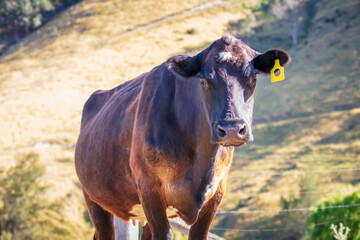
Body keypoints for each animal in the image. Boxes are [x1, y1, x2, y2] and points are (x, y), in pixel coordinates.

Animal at [75, 34, 290, 239]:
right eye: (203, 80)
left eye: (253, 77)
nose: (232, 128)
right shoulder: (149, 188)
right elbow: (165, 234)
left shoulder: (217, 191)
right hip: (94, 199)